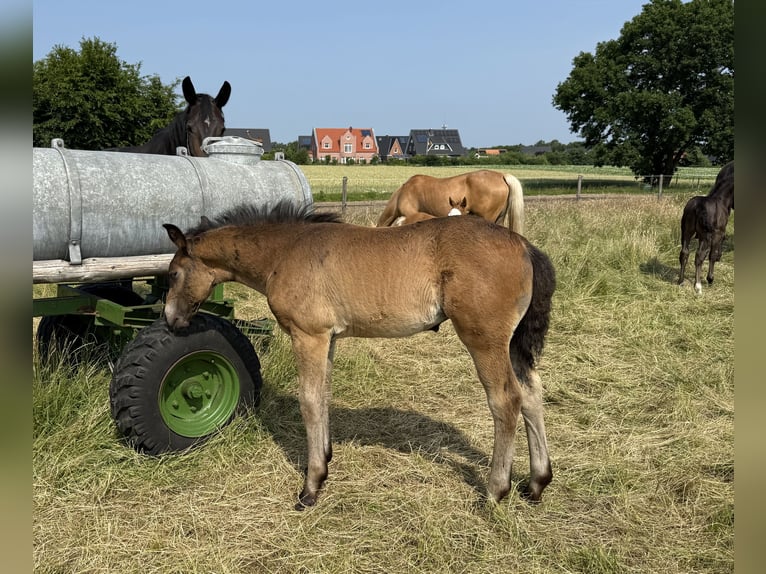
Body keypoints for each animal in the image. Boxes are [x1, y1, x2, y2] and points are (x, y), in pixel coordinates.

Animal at [162, 200, 556, 510]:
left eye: (174, 274)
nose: (170, 320)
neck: (286, 252)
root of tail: (523, 245)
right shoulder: (328, 338)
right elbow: (323, 394)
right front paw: (325, 462)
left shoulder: (309, 335)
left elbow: (308, 400)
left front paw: (311, 486)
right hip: (513, 344)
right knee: (532, 394)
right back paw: (537, 482)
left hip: (484, 339)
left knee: (506, 400)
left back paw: (494, 491)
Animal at [678, 161, 734, 293]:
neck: (721, 199)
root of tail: (697, 206)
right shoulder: (718, 234)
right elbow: (712, 255)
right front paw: (710, 278)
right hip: (705, 235)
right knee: (699, 256)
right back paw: (698, 286)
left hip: (687, 231)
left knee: (684, 253)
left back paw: (681, 281)